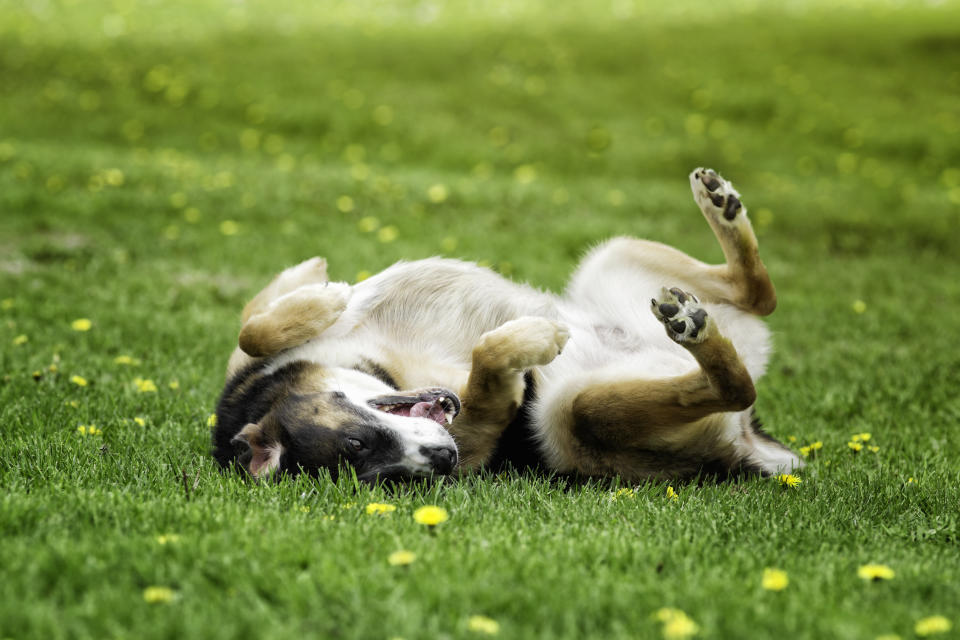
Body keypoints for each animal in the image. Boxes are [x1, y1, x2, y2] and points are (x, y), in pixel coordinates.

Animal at [212, 168, 804, 482]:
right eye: (386, 476)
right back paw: (695, 331)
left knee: (760, 294)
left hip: (612, 255)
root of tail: (747, 446)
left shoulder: (249, 351)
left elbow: (253, 325)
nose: (444, 458)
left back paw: (720, 207)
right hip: (573, 417)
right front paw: (529, 340)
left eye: (357, 443)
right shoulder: (480, 429)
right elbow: (489, 363)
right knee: (731, 381)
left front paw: (321, 291)